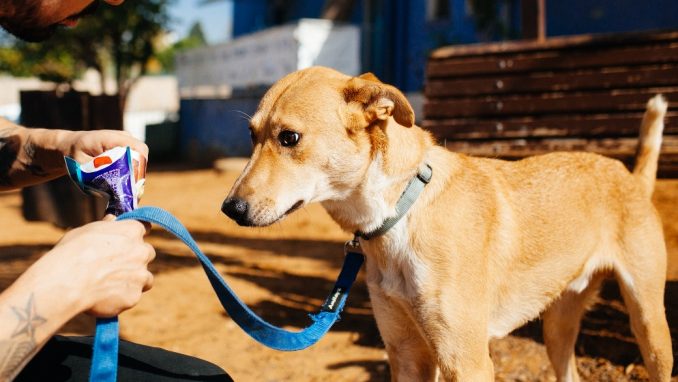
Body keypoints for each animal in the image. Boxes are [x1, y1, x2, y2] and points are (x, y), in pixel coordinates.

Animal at [224, 67, 676, 380]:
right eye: (251, 135)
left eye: (289, 138)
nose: (231, 208)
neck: (400, 213)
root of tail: (630, 175)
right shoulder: (407, 354)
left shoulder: (467, 360)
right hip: (558, 327)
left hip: (648, 322)